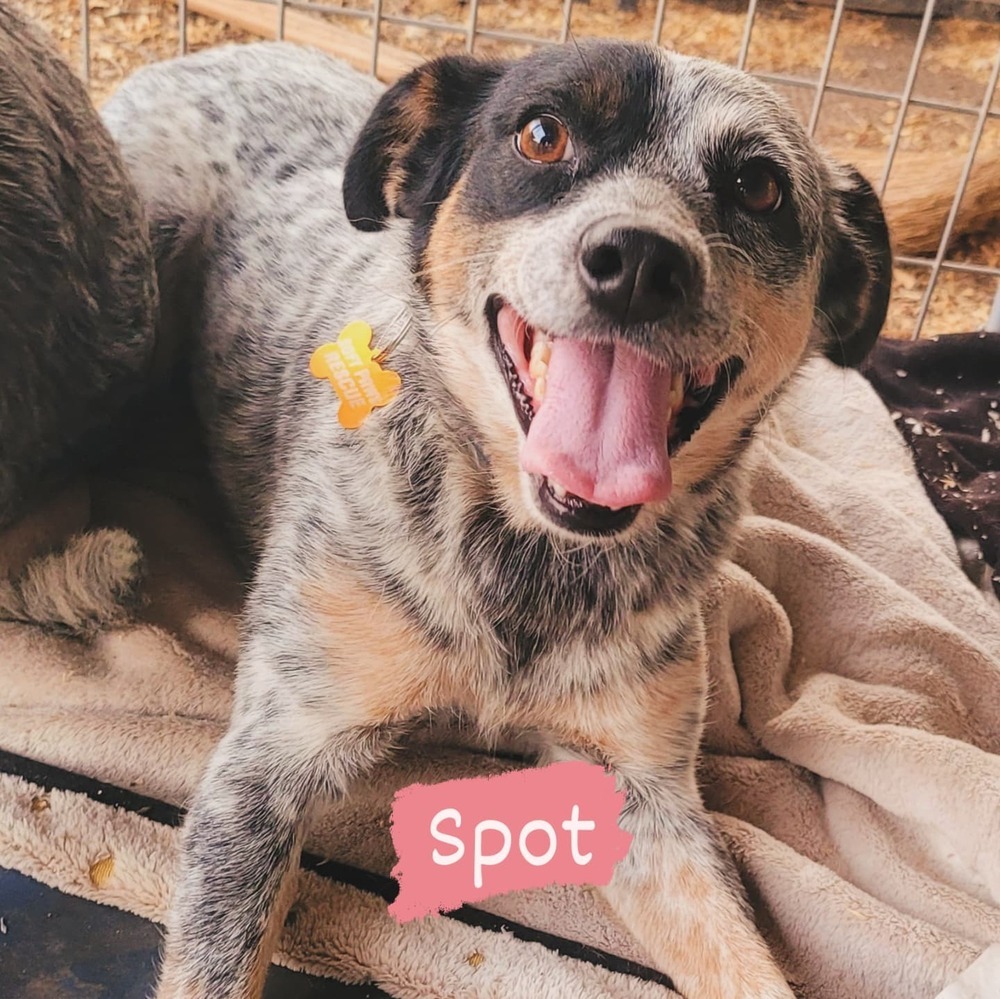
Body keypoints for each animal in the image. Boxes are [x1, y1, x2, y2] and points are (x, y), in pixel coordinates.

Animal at [103, 39, 892, 999]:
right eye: (541, 135)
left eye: (760, 187)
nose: (640, 260)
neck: (529, 561)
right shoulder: (267, 760)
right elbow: (216, 962)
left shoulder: (647, 797)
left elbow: (746, 964)